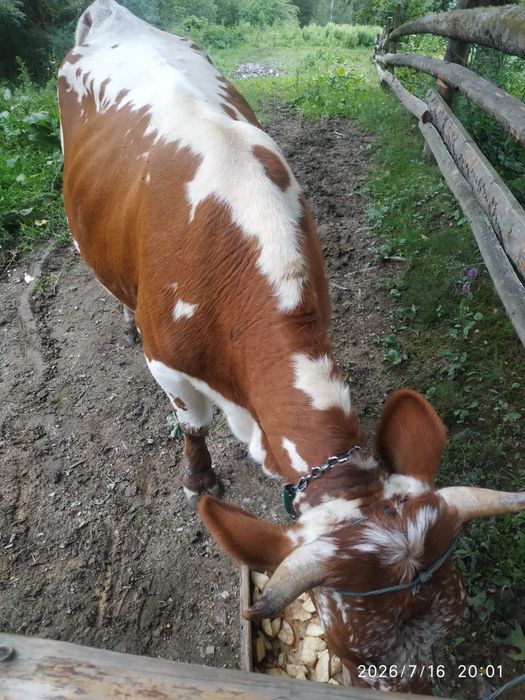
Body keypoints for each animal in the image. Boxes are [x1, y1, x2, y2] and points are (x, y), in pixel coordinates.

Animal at [59, 1, 525, 692]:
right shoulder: (168, 364)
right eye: (352, 654)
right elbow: (192, 423)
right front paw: (198, 478)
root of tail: (108, 14)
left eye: (454, 625)